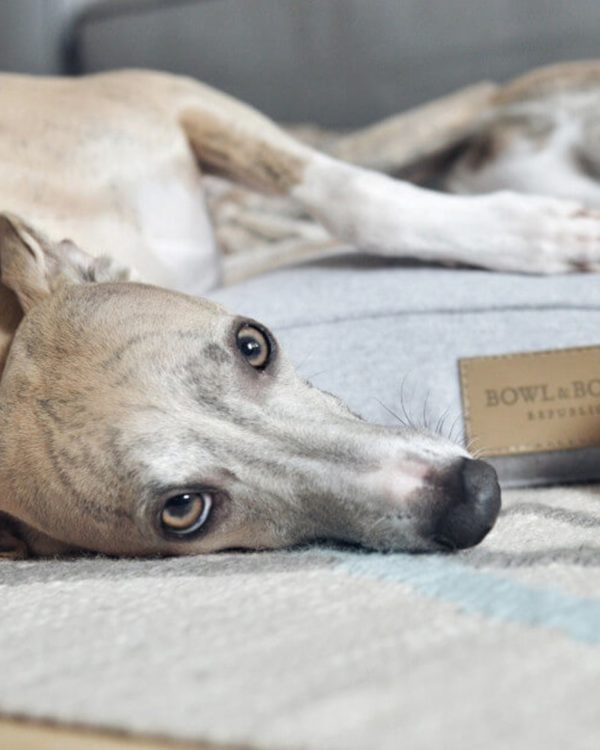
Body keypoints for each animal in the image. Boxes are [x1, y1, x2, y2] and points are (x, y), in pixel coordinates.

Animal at [0, 61, 596, 560]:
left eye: (252, 343)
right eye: (184, 510)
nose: (476, 499)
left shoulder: (177, 97)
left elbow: (350, 197)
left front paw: (540, 233)